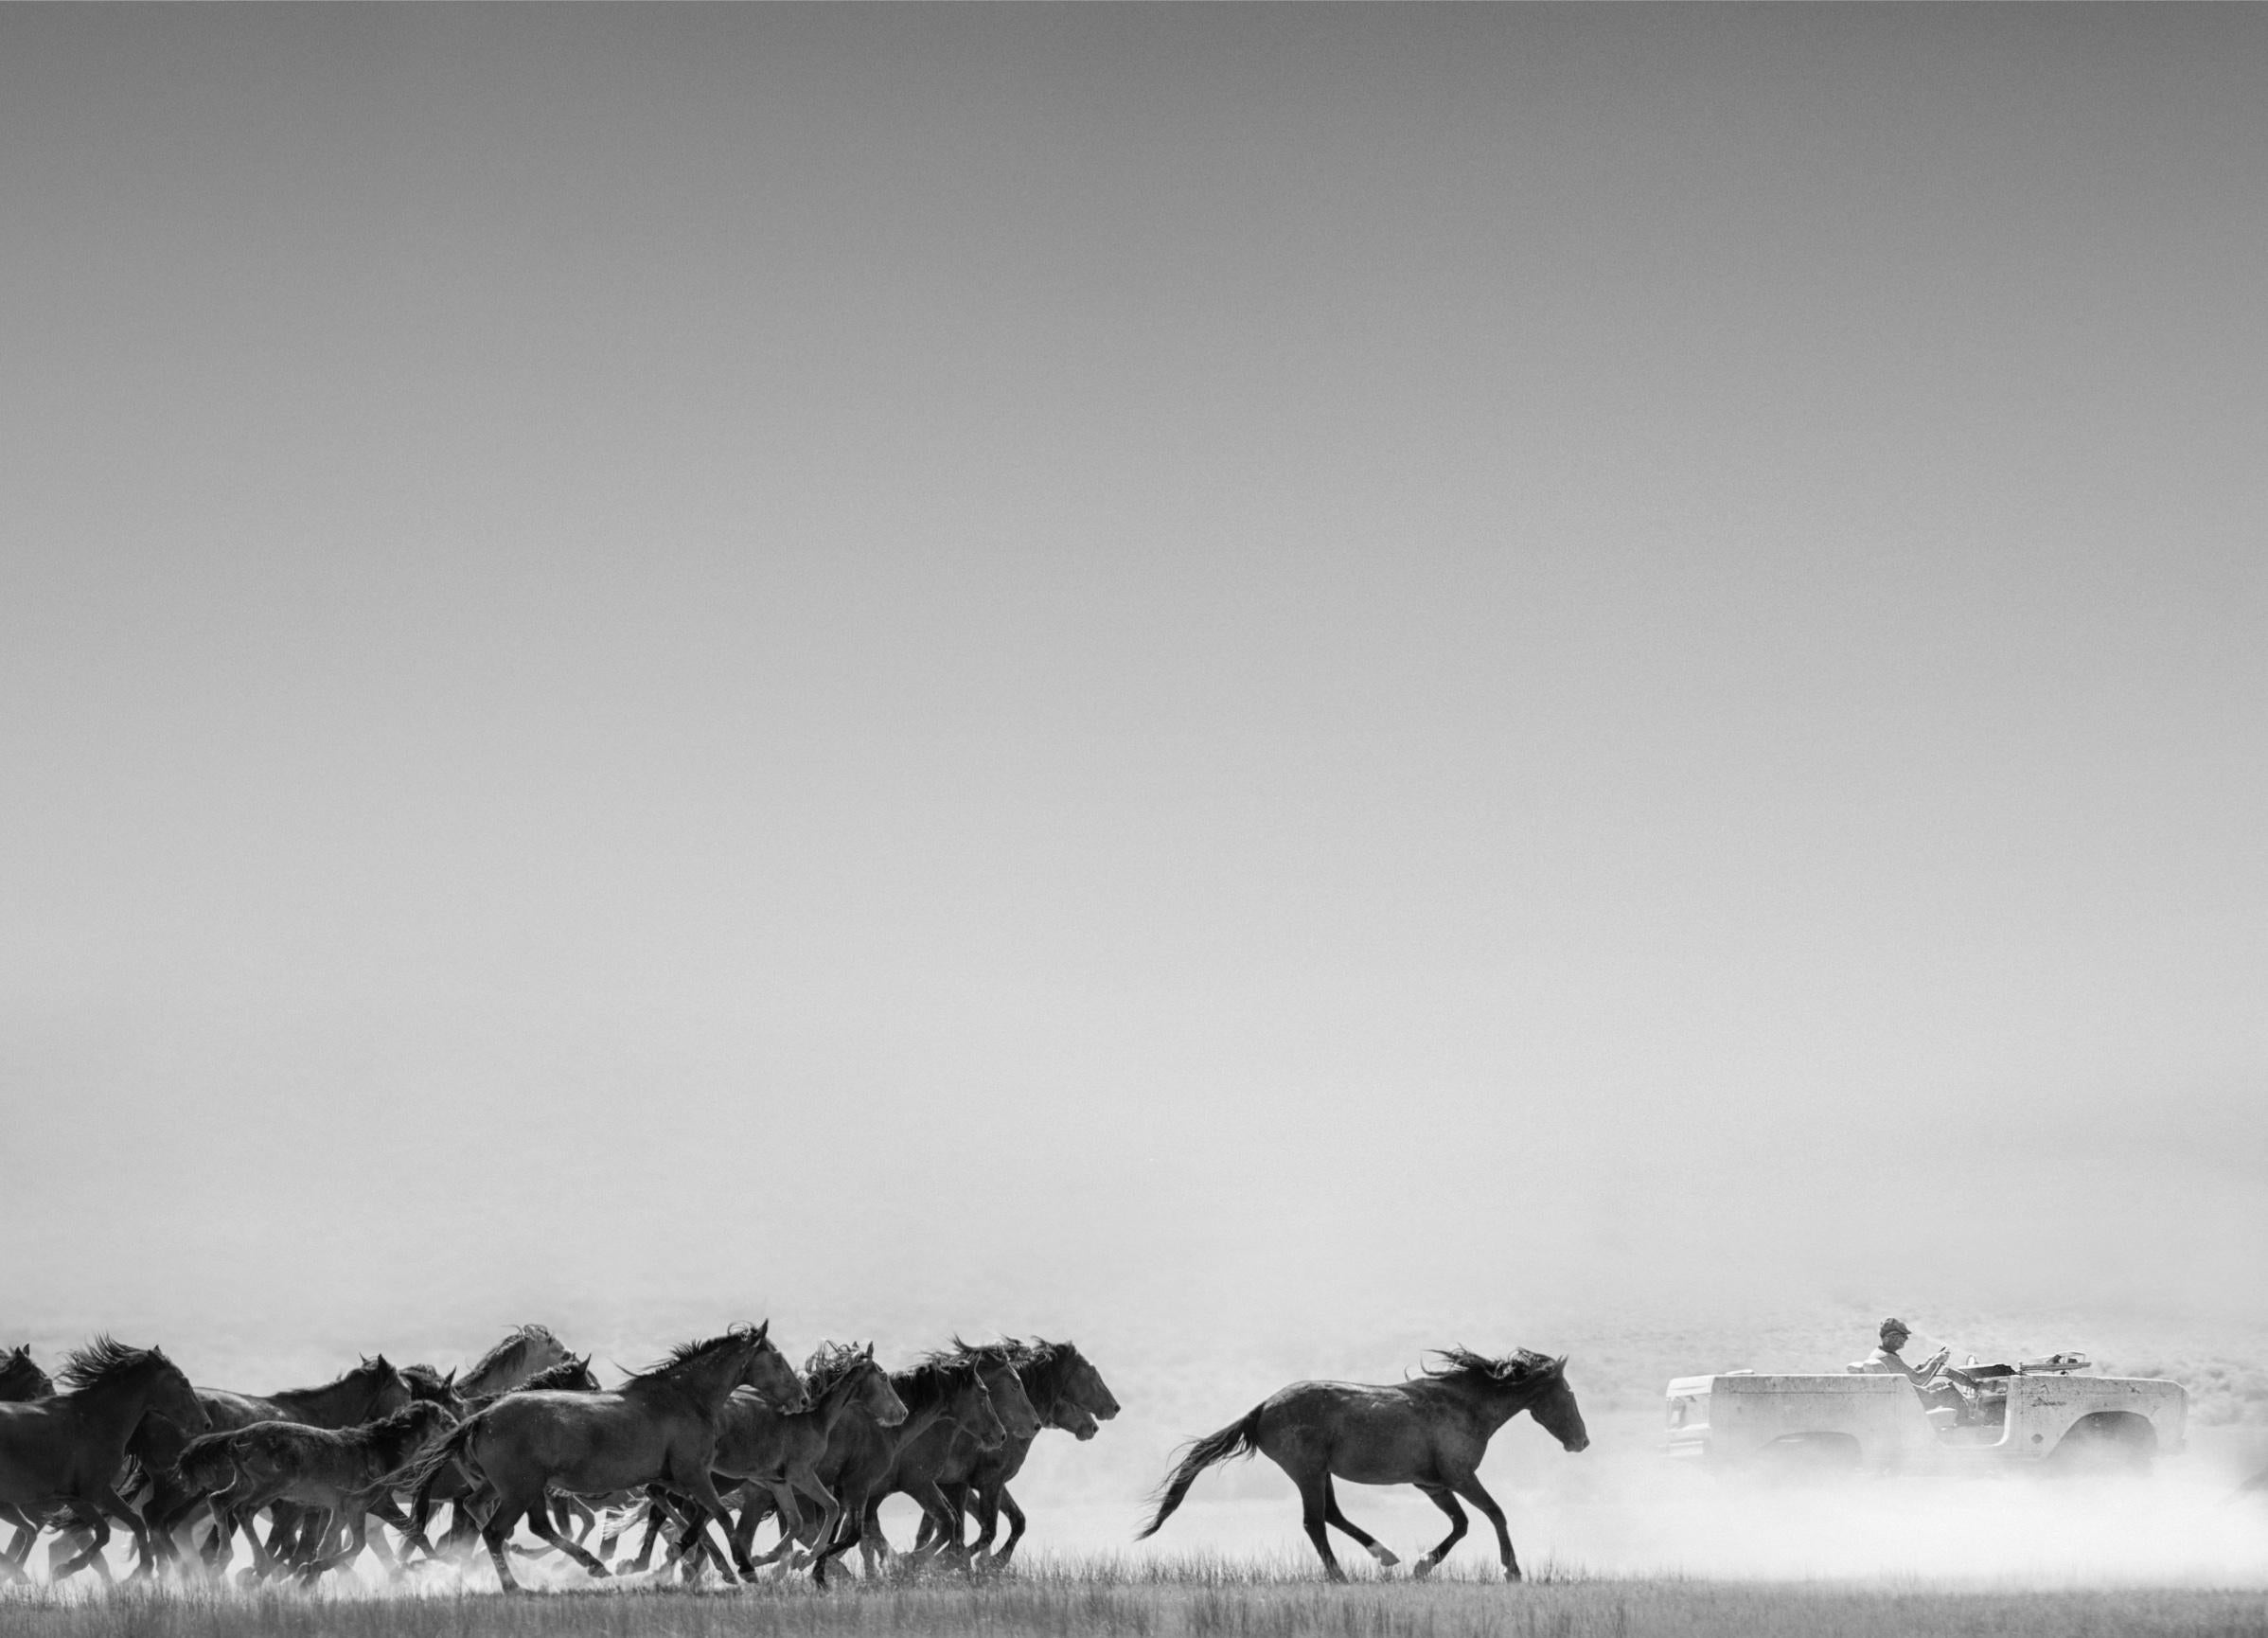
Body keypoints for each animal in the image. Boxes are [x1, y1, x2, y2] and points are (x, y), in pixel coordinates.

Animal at [0, 1333, 208, 1578]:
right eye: (183, 1382)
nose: (206, 1423)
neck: (94, 1421)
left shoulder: (81, 1495)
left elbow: (127, 1524)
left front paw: (142, 1570)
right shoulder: (93, 1492)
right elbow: (108, 1532)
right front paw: (66, 1569)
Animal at [1143, 1343, 1587, 1578]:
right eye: (1568, 1393)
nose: (1581, 1442)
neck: (1465, 1405)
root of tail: (1262, 1408)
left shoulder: (1433, 1484)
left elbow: (1461, 1524)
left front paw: (1422, 1566)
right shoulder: (1460, 1476)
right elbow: (1495, 1513)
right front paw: (1512, 1571)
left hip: (1321, 1472)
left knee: (1332, 1516)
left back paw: (1385, 1555)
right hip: (1306, 1471)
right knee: (1314, 1522)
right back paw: (1340, 1576)